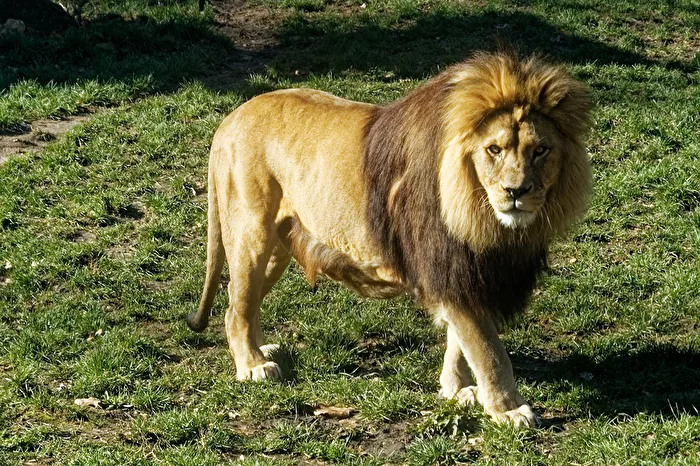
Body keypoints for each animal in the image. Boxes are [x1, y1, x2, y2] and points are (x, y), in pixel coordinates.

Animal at [187, 52, 592, 427]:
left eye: (540, 150)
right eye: (494, 149)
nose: (516, 192)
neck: (482, 216)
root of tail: (232, 118)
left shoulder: (464, 273)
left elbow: (460, 343)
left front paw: (456, 389)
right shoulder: (448, 266)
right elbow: (488, 351)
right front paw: (508, 409)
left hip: (276, 247)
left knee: (242, 301)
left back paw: (262, 349)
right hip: (251, 233)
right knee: (235, 306)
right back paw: (252, 365)